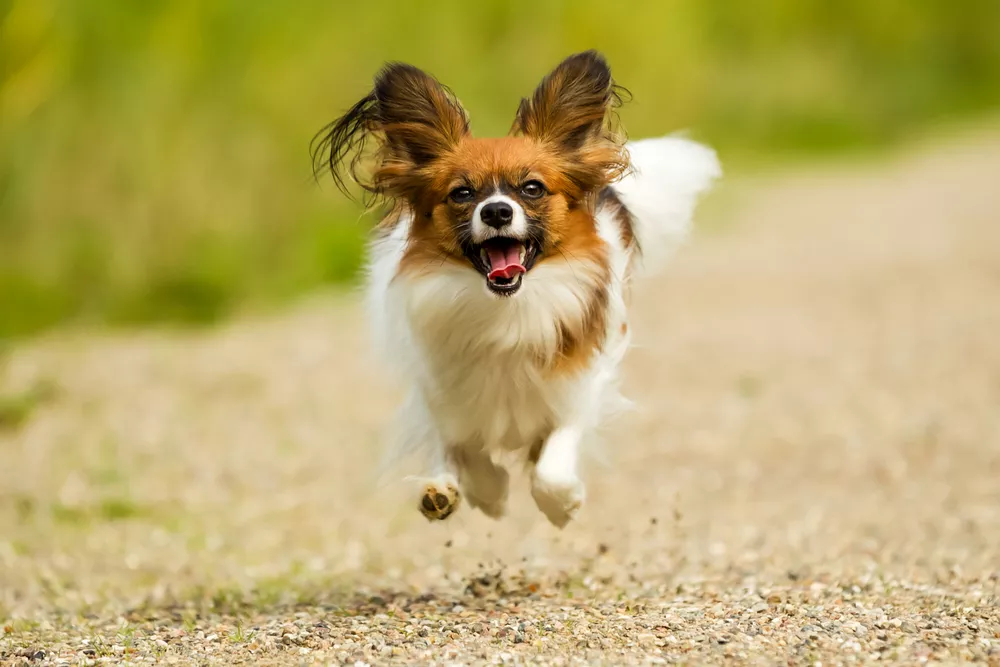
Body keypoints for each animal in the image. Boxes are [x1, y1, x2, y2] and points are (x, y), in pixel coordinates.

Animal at [312, 49, 720, 528]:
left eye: (532, 188)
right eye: (462, 194)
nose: (497, 212)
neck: (507, 308)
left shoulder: (579, 382)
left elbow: (553, 464)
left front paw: (561, 505)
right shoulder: (442, 387)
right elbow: (459, 443)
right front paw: (481, 492)